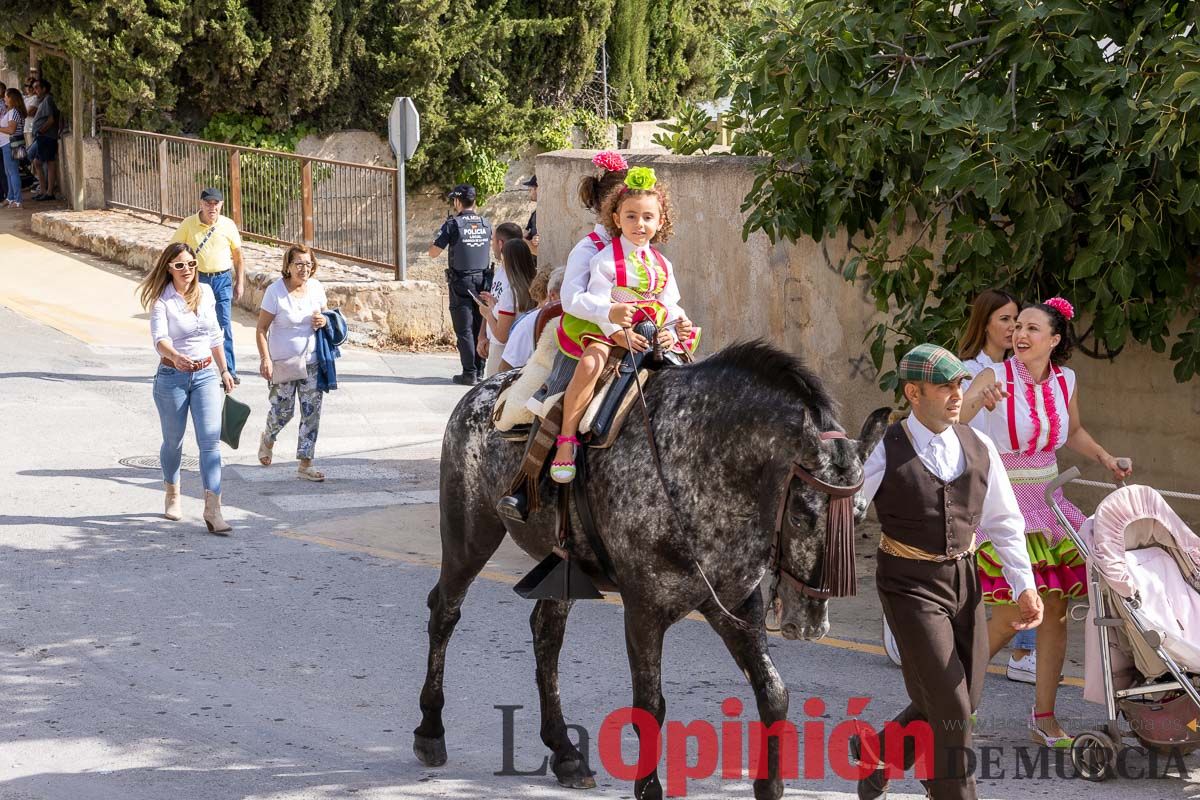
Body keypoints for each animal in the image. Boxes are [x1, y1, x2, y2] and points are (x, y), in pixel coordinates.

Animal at [415, 340, 892, 796]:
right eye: (801, 516)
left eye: (860, 514)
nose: (809, 622)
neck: (698, 465)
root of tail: (482, 390)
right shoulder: (644, 610)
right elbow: (650, 706)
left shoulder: (735, 605)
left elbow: (774, 693)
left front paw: (769, 784)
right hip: (470, 536)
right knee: (445, 612)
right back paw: (430, 731)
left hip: (563, 569)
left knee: (546, 634)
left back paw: (565, 751)